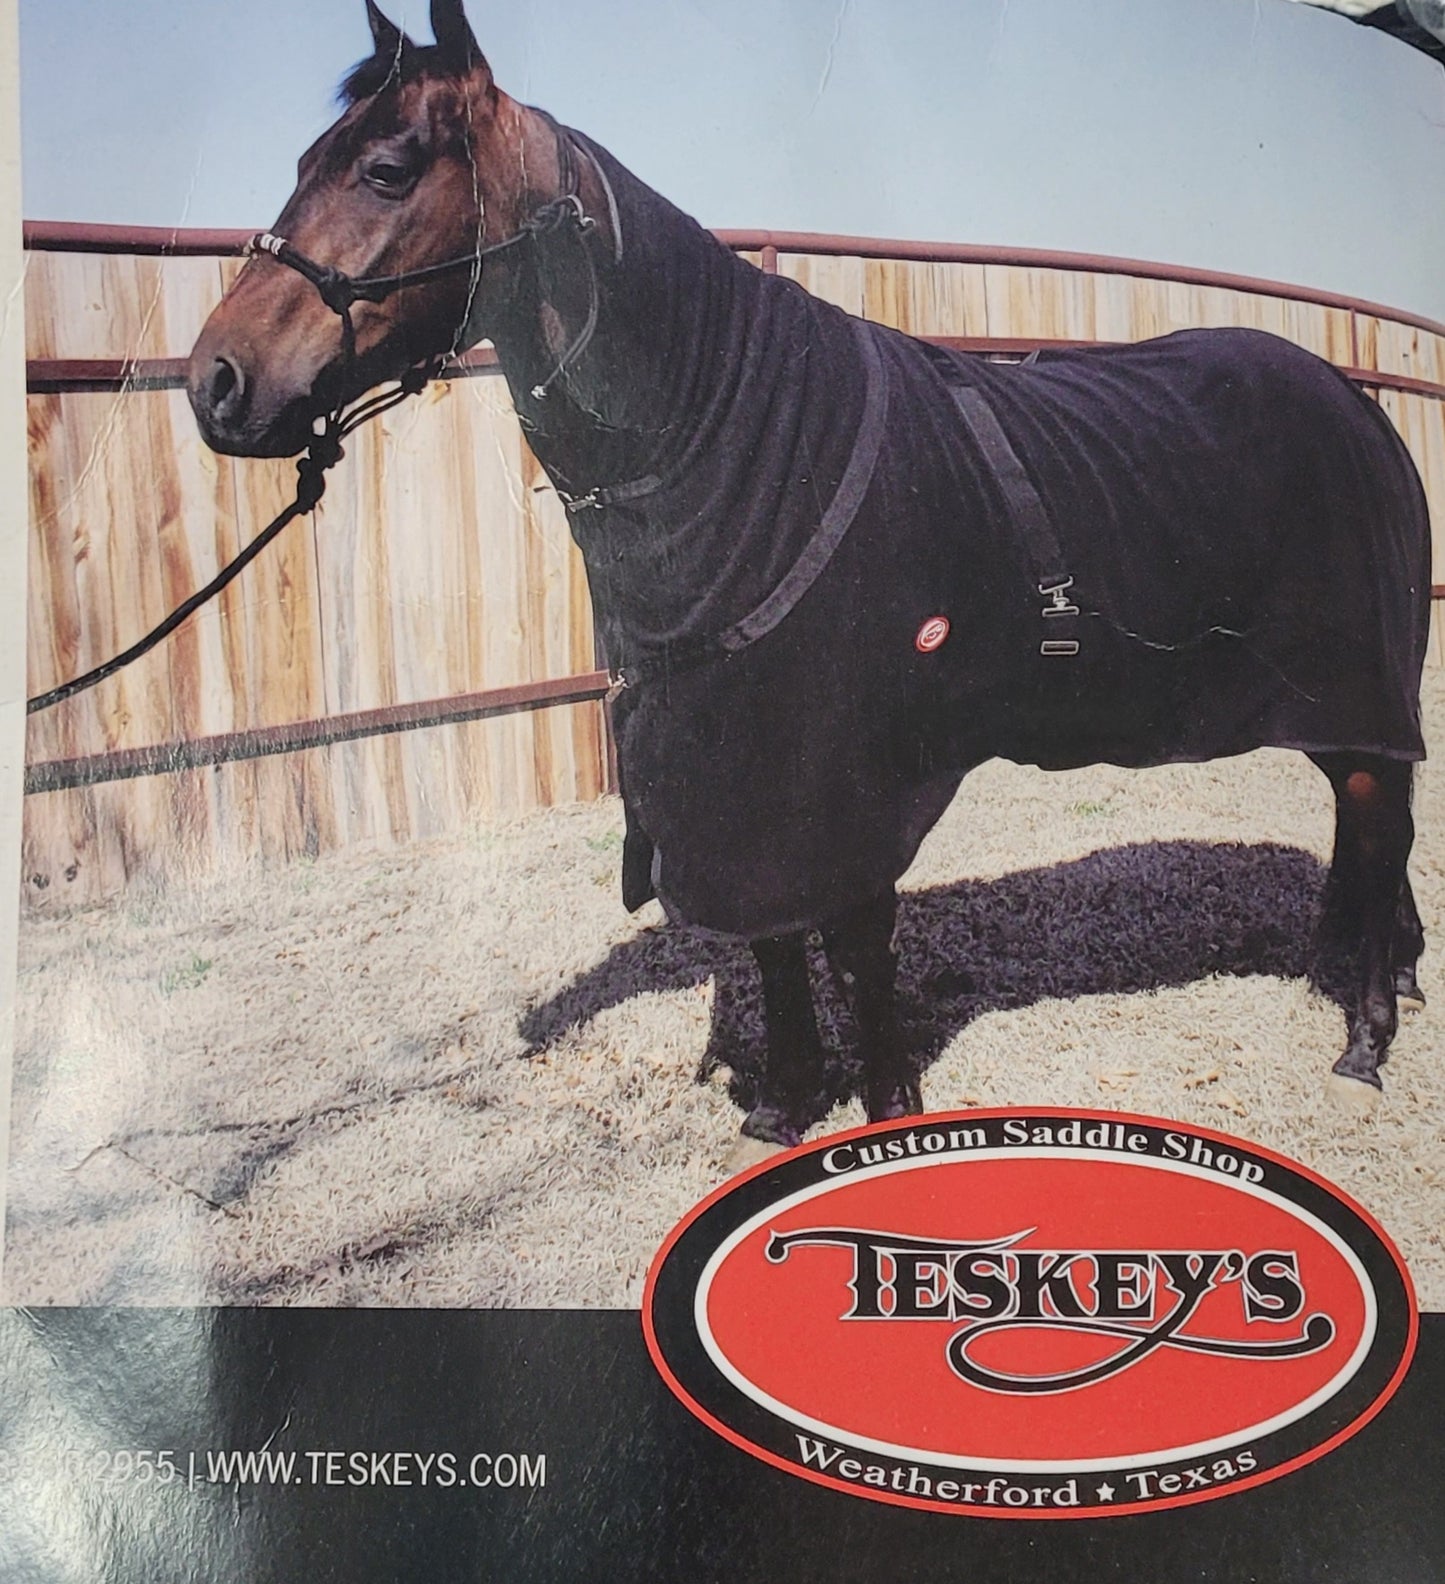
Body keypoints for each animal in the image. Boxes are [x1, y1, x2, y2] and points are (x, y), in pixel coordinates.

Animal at [188, 0, 1431, 1168]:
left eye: (385, 170)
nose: (216, 382)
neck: (727, 428)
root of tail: (1354, 402)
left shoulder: (844, 778)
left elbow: (855, 945)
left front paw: (882, 1105)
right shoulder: (736, 777)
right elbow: (778, 942)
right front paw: (782, 1103)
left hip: (1357, 691)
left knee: (1377, 825)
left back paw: (1363, 1041)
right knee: (1364, 829)